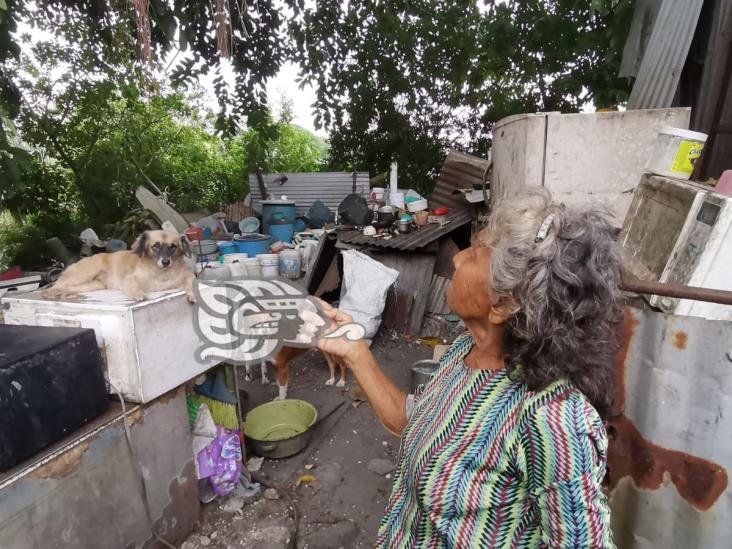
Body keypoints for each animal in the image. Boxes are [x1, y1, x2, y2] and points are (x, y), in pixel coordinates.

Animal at [43, 229, 194, 302]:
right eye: (156, 246)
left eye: (173, 247)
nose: (166, 262)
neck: (161, 273)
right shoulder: (129, 279)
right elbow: (135, 286)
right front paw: (139, 294)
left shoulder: (188, 276)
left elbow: (190, 283)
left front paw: (192, 295)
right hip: (82, 275)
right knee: (51, 288)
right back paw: (53, 294)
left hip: (93, 285)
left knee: (63, 288)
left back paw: (62, 294)